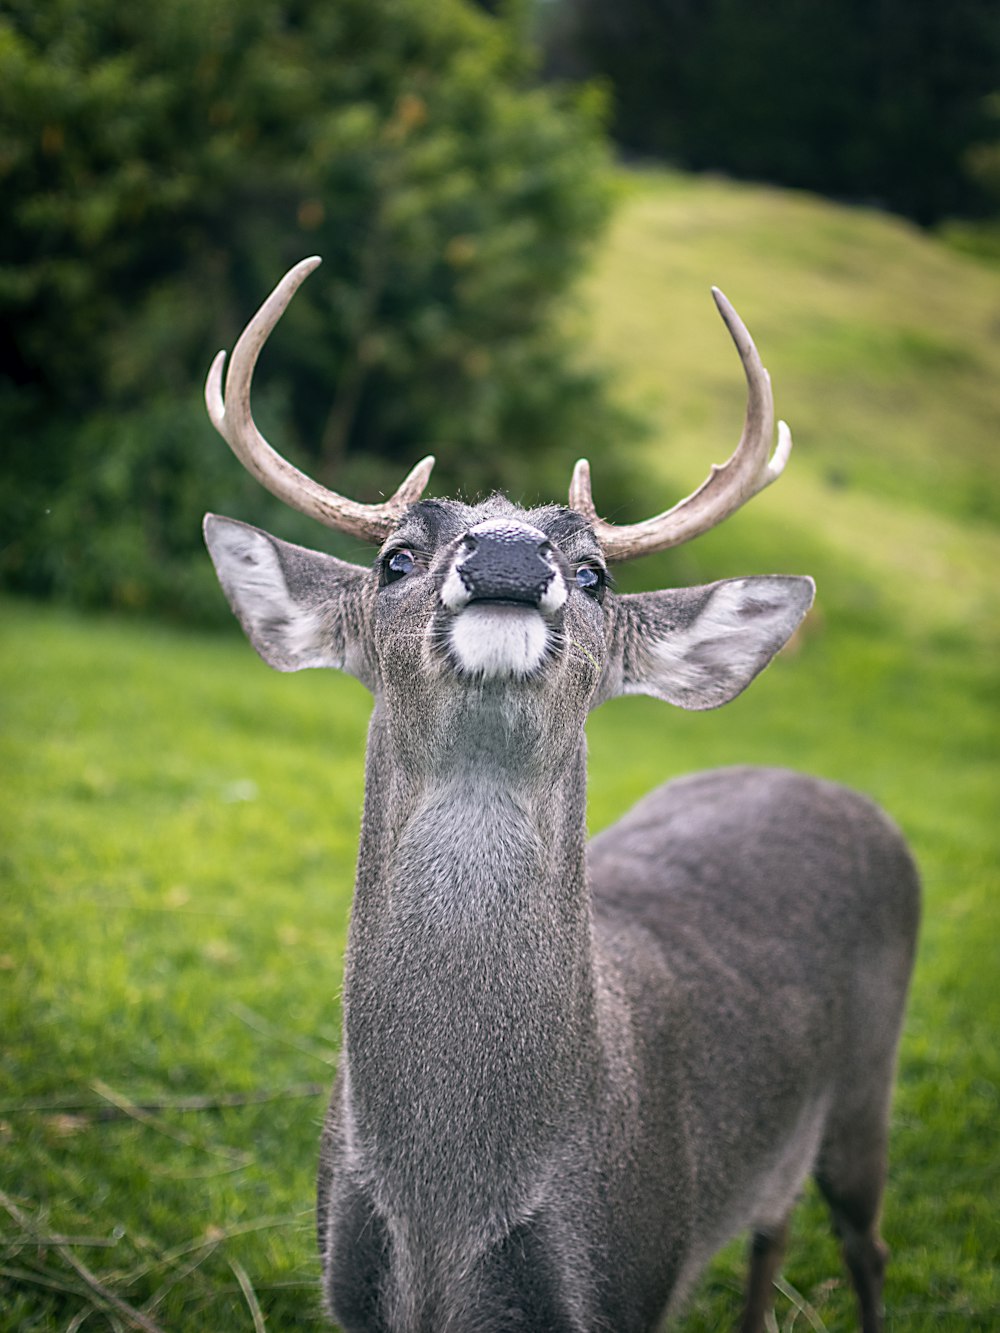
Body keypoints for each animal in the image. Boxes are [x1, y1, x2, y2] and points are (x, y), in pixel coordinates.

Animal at [204, 254, 922, 1327]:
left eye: (593, 574)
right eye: (395, 557)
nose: (508, 552)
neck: (447, 1216)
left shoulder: (631, 1272)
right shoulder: (347, 1281)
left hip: (871, 1082)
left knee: (864, 1243)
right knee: (775, 1222)